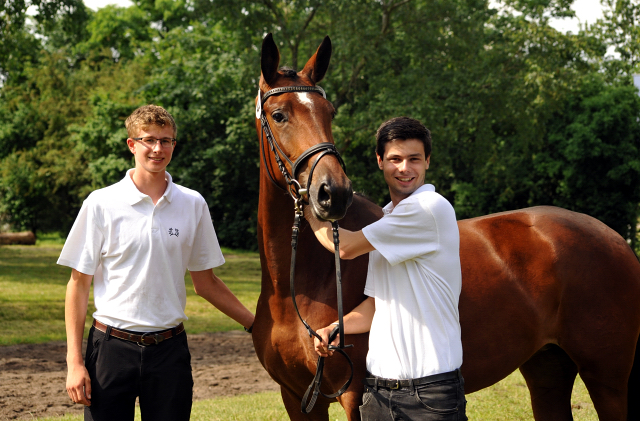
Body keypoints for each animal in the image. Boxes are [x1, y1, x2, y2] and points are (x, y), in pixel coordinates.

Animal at [252, 33, 640, 420]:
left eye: (329, 113)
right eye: (279, 115)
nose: (334, 193)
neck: (299, 285)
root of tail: (617, 239)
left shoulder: (354, 395)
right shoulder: (298, 398)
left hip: (606, 376)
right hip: (547, 367)